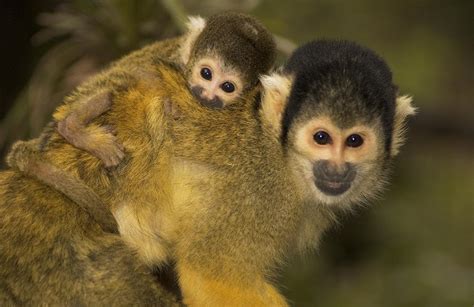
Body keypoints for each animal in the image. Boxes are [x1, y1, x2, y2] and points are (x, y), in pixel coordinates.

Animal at [56, 12, 276, 167]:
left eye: (227, 87)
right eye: (206, 73)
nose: (208, 94)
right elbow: (143, 74)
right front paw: (171, 104)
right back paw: (71, 127)